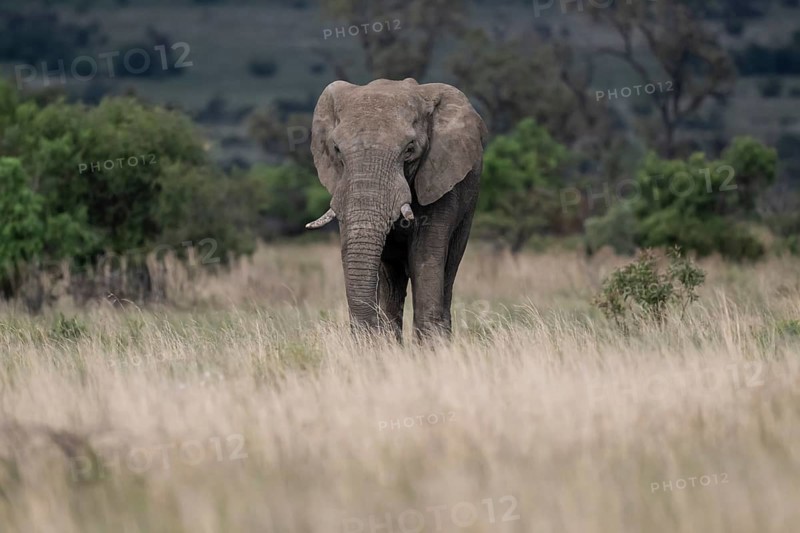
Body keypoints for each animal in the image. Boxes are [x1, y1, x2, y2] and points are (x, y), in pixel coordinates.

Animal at [305, 78, 487, 341]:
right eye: (337, 149)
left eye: (409, 149)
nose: (367, 334)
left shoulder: (440, 177)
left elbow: (425, 254)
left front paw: (432, 348)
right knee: (392, 279)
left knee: (448, 269)